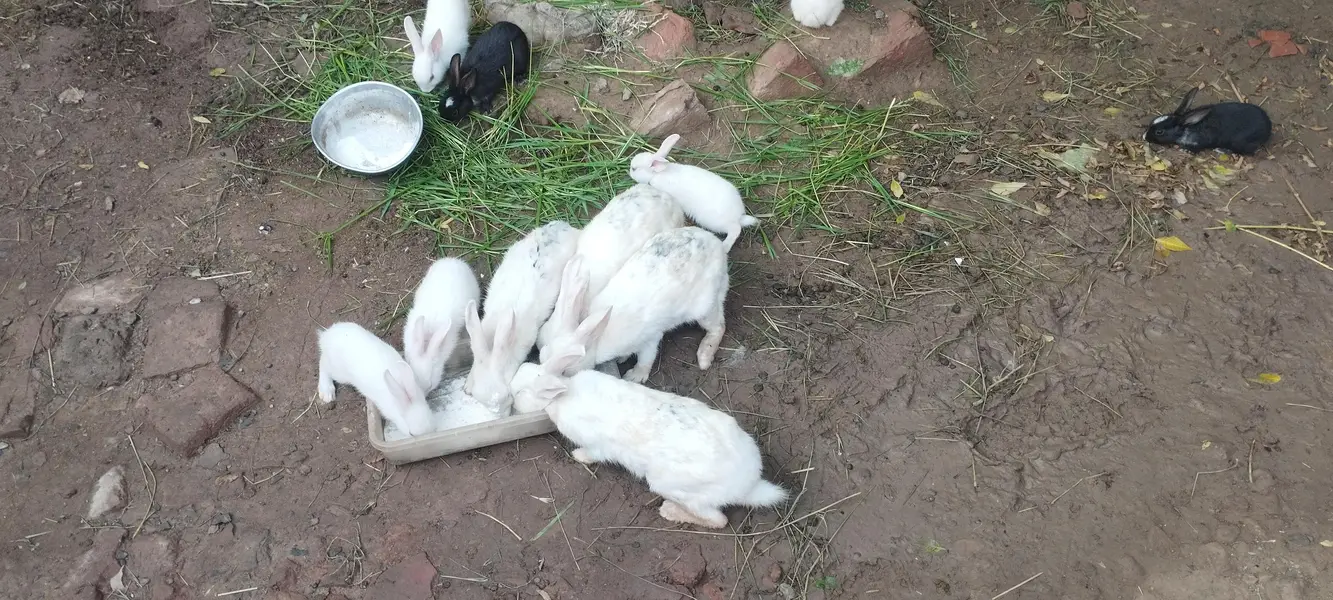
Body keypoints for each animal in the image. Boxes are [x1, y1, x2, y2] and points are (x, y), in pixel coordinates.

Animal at [512, 345, 788, 529]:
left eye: (518, 394)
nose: (511, 400)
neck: (563, 394)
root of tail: (749, 484)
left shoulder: (597, 445)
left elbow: (592, 454)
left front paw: (578, 456)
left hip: (671, 486)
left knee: (718, 520)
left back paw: (670, 511)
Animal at [539, 226, 729, 383]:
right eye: (541, 354)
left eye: (565, 371)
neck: (597, 339)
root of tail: (718, 246)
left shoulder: (650, 338)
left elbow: (646, 358)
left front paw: (634, 377)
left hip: (704, 308)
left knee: (719, 326)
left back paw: (704, 357)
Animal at [629, 134, 758, 252]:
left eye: (634, 168)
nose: (629, 171)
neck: (657, 174)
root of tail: (739, 216)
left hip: (713, 222)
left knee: (735, 229)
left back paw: (725, 247)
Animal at [1144, 87, 1273, 156]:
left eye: (1159, 132)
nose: (1144, 137)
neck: (1186, 127)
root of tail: (1268, 129)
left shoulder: (1199, 142)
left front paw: (1185, 150)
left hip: (1239, 143)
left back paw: (1222, 150)